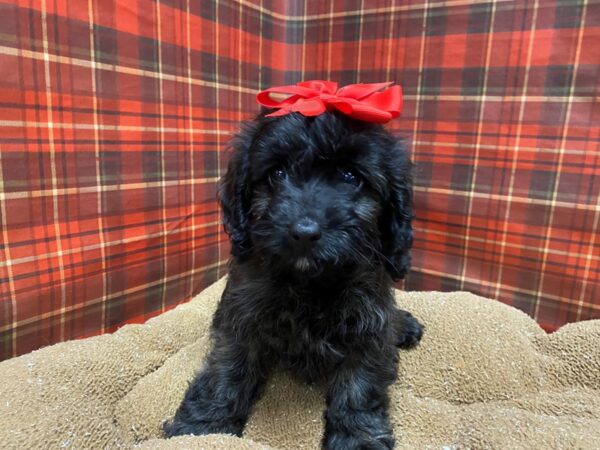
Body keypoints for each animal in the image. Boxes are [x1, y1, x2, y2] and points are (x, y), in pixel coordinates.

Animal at [165, 110, 422, 448]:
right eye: (277, 173)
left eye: (350, 176)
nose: (304, 232)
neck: (309, 281)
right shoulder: (242, 315)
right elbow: (228, 369)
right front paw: (203, 426)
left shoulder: (369, 326)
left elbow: (358, 387)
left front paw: (357, 439)